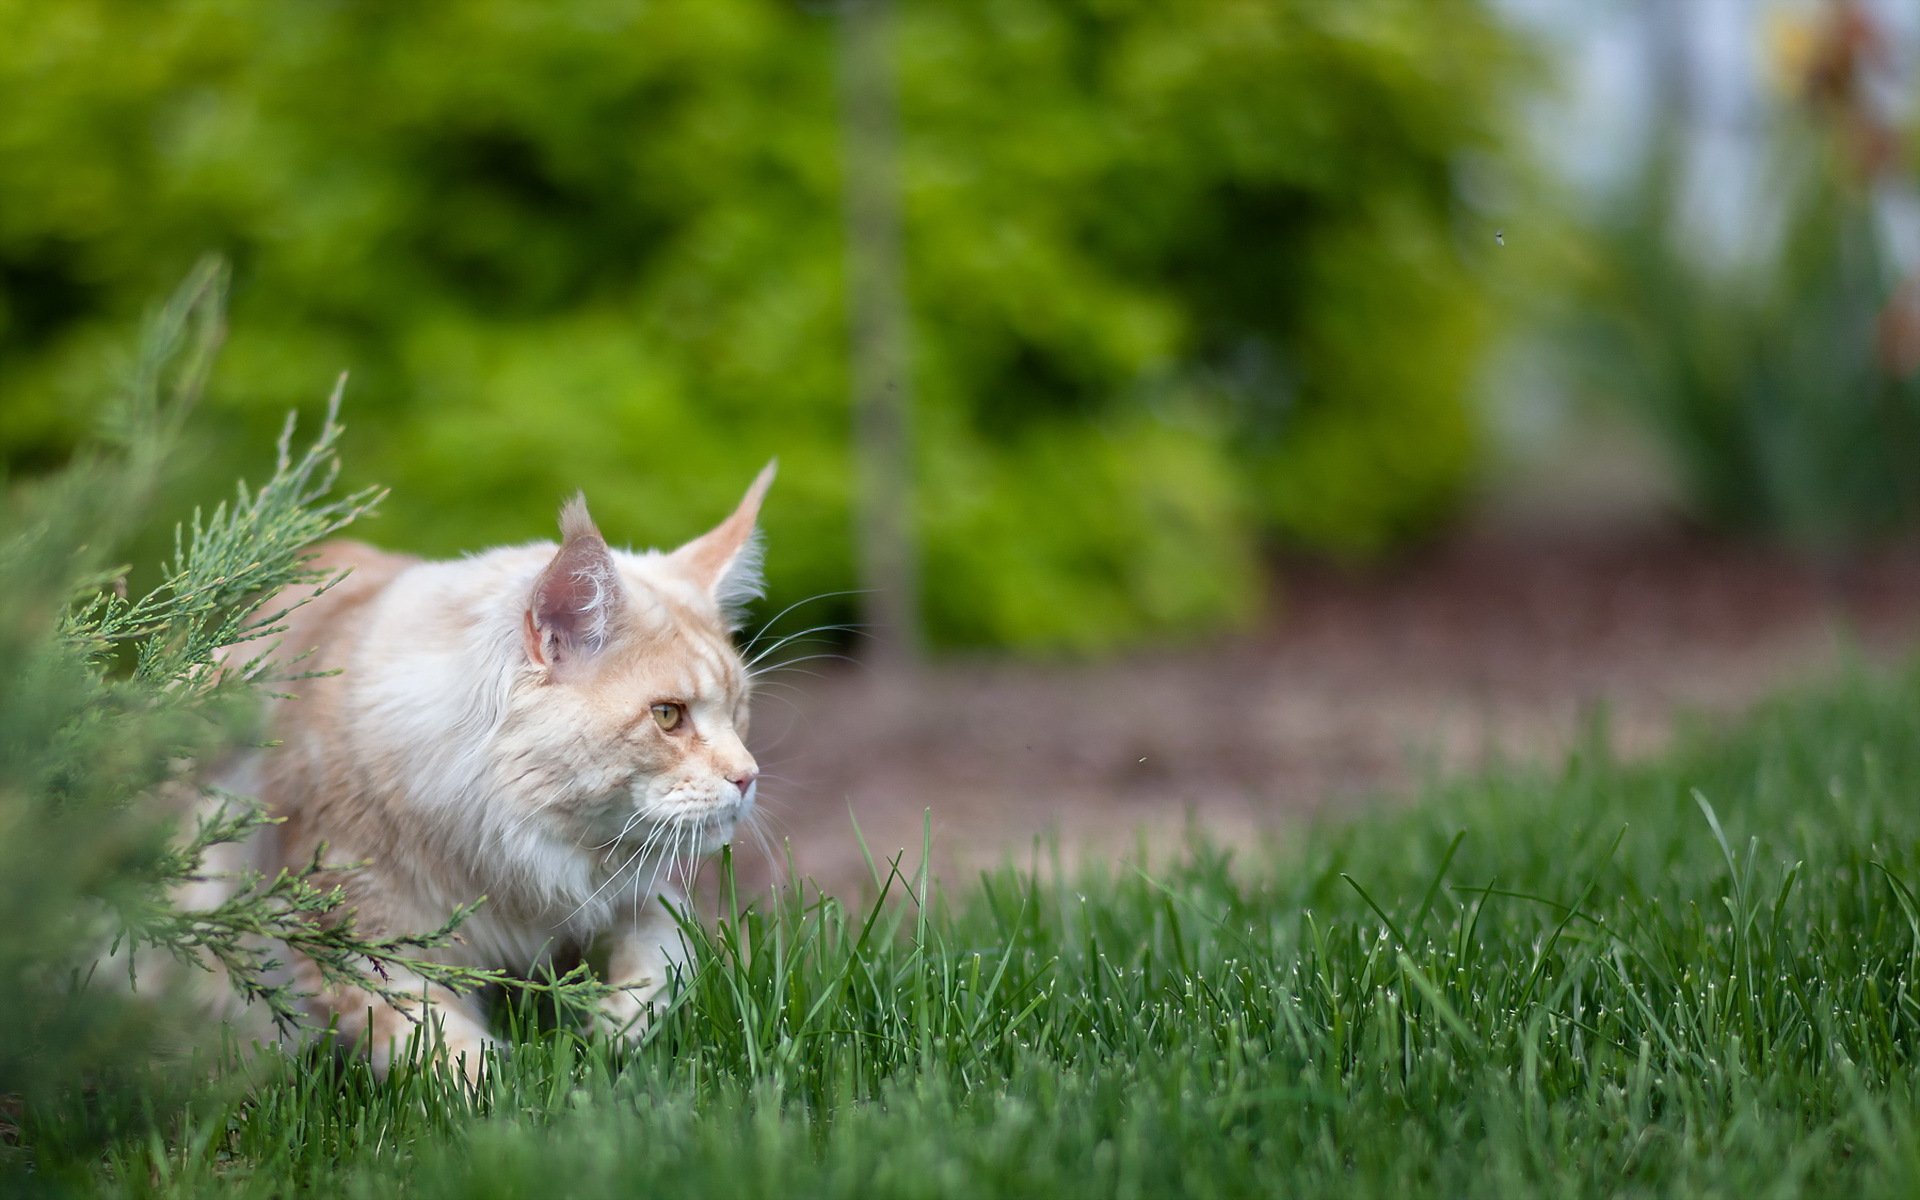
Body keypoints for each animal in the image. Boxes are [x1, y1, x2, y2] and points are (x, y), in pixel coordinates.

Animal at [185, 462, 771, 1082]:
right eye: (667, 716)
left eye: (738, 711)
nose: (747, 777)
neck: (508, 854)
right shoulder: (352, 941)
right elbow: (447, 1055)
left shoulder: (635, 893)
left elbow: (664, 959)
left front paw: (620, 1034)